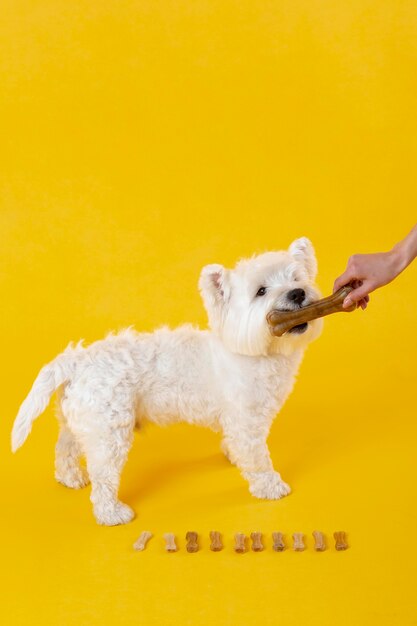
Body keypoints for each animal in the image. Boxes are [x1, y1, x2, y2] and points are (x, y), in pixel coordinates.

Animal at [10, 236, 322, 524]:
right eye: (261, 291)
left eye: (296, 278)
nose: (297, 293)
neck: (254, 352)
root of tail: (77, 360)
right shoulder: (246, 422)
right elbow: (257, 458)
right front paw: (270, 486)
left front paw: (232, 456)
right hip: (109, 431)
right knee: (103, 478)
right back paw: (111, 513)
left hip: (79, 420)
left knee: (66, 446)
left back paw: (70, 476)